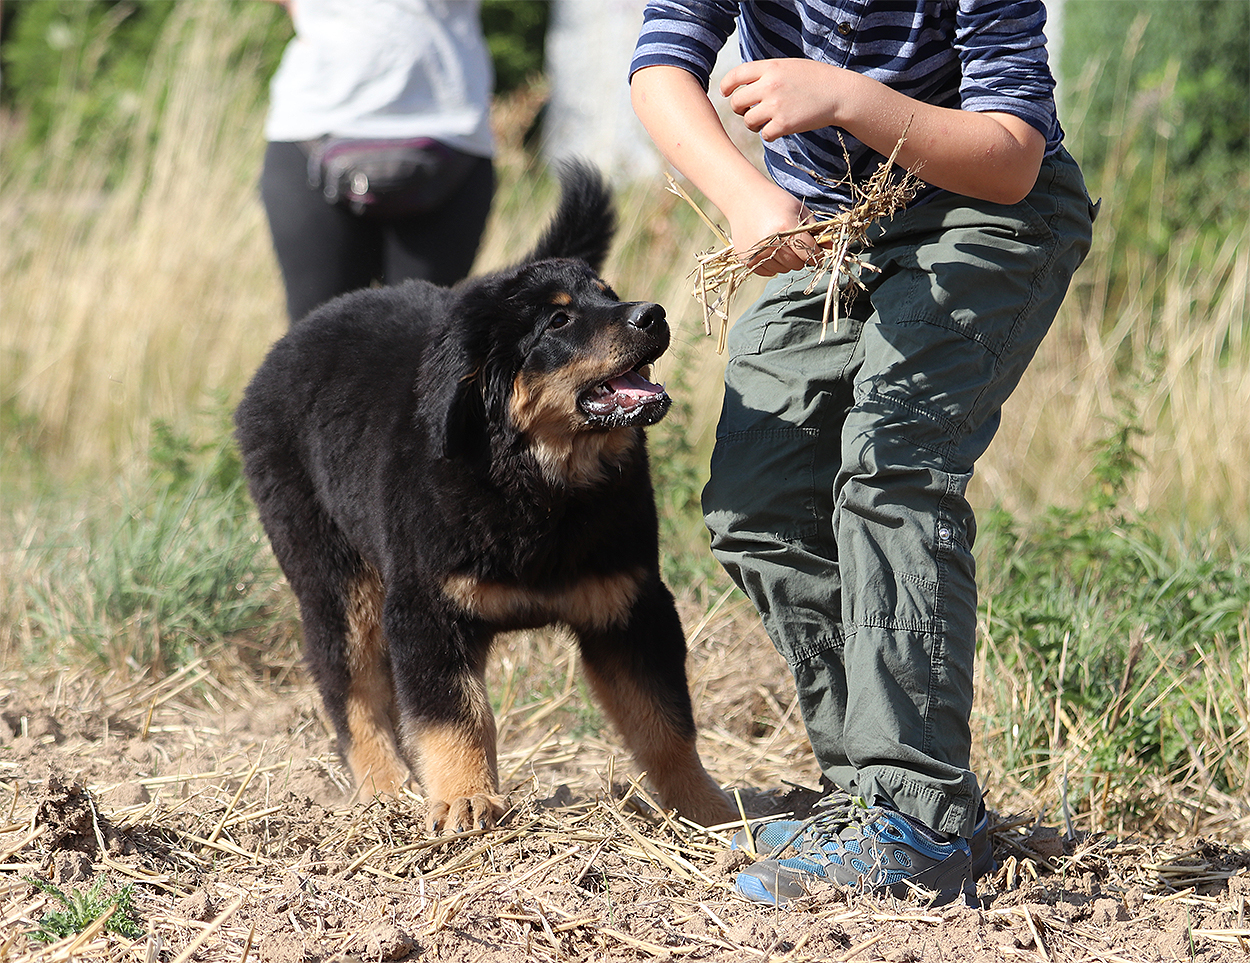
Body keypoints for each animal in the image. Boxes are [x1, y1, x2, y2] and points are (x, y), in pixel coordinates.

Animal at [235, 162, 738, 833]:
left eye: (609, 295)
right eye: (558, 321)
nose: (652, 313)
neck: (538, 485)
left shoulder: (631, 605)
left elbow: (664, 722)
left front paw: (708, 810)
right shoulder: (426, 607)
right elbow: (456, 716)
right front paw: (466, 798)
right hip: (336, 580)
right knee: (352, 690)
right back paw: (384, 788)